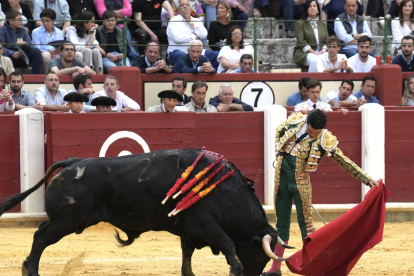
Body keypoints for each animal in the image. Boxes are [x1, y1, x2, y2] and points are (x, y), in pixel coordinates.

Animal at [0, 149, 292, 276]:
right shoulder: (205, 224)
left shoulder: (187, 229)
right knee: (40, 237)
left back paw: (26, 266)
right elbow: (228, 245)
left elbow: (187, 255)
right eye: (259, 254)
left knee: (40, 234)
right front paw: (235, 269)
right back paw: (32, 271)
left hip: (65, 221)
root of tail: (73, 162)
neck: (225, 190)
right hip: (67, 220)